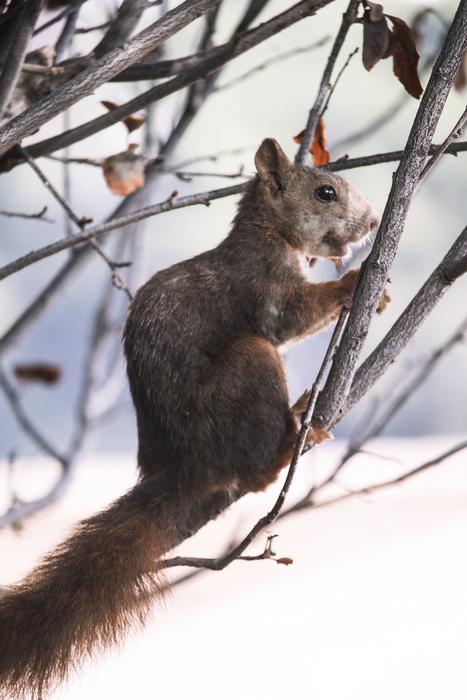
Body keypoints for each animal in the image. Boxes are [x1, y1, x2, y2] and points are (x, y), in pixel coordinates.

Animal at [0, 138, 379, 699]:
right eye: (325, 192)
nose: (373, 222)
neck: (268, 232)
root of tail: (183, 468)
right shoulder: (262, 285)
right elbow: (289, 318)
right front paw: (359, 281)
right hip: (249, 367)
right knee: (255, 468)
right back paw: (292, 436)